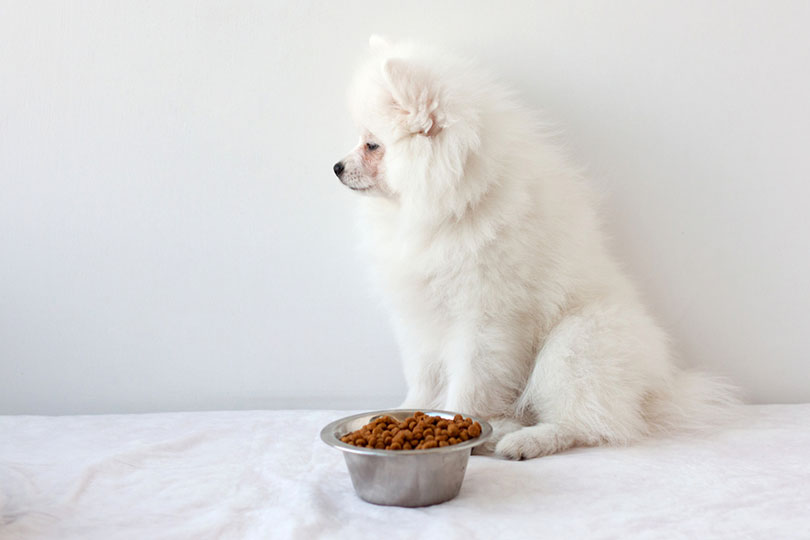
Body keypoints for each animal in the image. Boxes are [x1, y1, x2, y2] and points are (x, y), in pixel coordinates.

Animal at [332, 35, 736, 458]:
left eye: (372, 145)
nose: (336, 167)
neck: (453, 205)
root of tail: (655, 391)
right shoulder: (421, 315)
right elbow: (423, 377)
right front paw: (409, 410)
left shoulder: (485, 318)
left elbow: (469, 383)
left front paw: (458, 425)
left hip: (575, 344)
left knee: (585, 422)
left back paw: (522, 440)